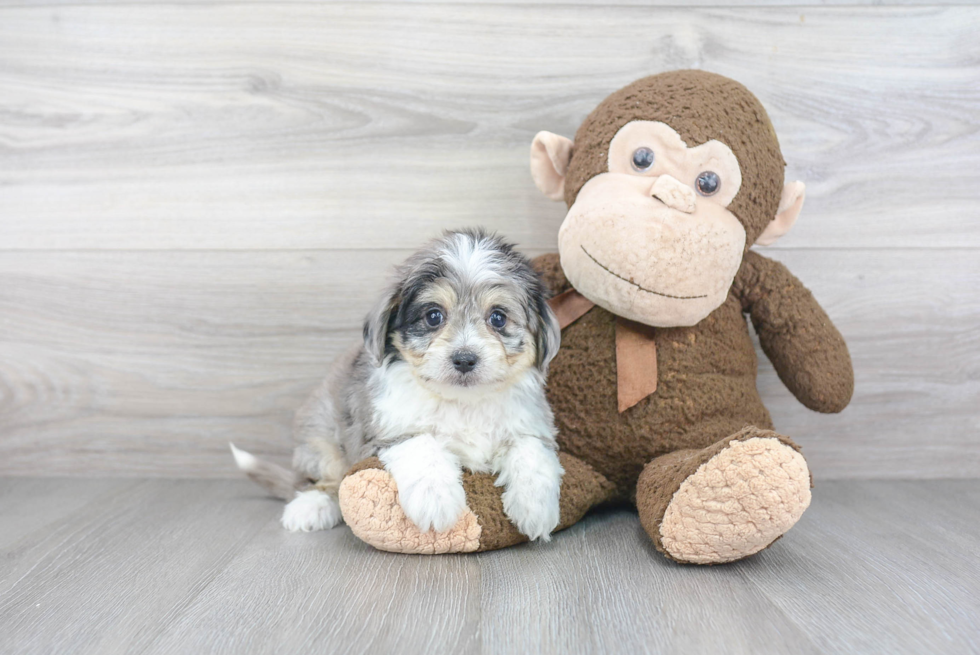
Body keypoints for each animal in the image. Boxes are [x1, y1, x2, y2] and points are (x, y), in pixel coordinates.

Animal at [232, 231, 568, 544]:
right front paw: (435, 500)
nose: (464, 358)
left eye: (498, 318)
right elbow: (421, 444)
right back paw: (310, 507)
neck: (463, 402)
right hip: (320, 438)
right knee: (322, 480)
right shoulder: (387, 430)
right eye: (433, 316)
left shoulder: (532, 425)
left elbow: (531, 451)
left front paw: (536, 508)